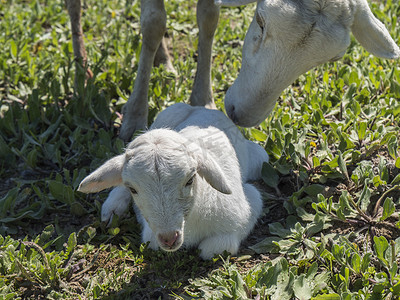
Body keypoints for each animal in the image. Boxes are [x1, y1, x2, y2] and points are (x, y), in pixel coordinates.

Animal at [77, 102, 268, 258]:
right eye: (133, 189)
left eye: (190, 179)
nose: (169, 238)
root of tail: (200, 108)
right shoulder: (151, 236)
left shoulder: (247, 206)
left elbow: (213, 249)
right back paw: (113, 209)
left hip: (260, 159)